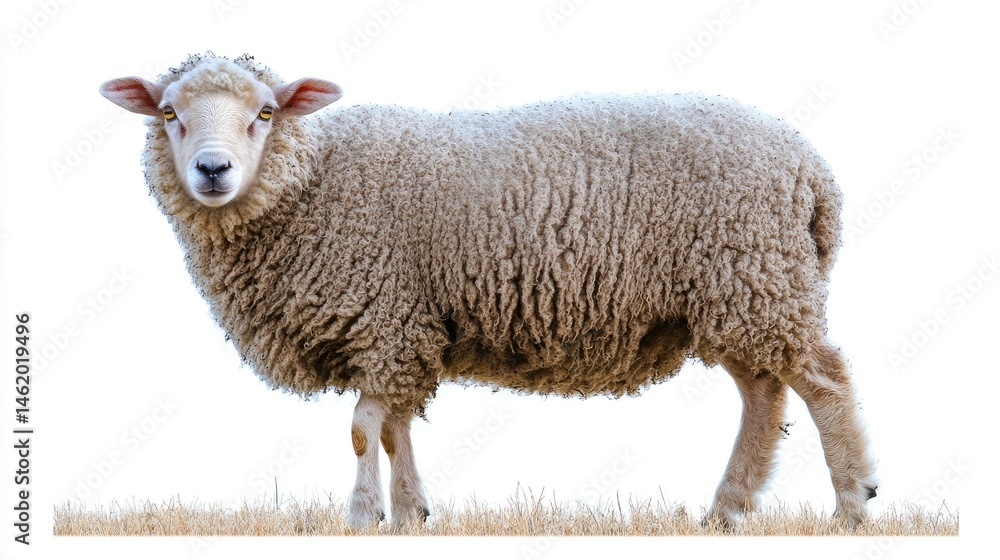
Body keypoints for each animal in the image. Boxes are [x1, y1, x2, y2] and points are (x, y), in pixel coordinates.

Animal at [99, 52, 877, 531]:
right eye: (168, 112)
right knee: (764, 395)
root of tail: (812, 170)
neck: (313, 186)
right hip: (740, 290)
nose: (213, 169)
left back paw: (850, 504)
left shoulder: (387, 319)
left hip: (755, 276)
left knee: (824, 381)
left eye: (264, 112)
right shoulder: (405, 329)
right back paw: (728, 510)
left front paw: (361, 516)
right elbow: (395, 428)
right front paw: (411, 513)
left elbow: (363, 428)